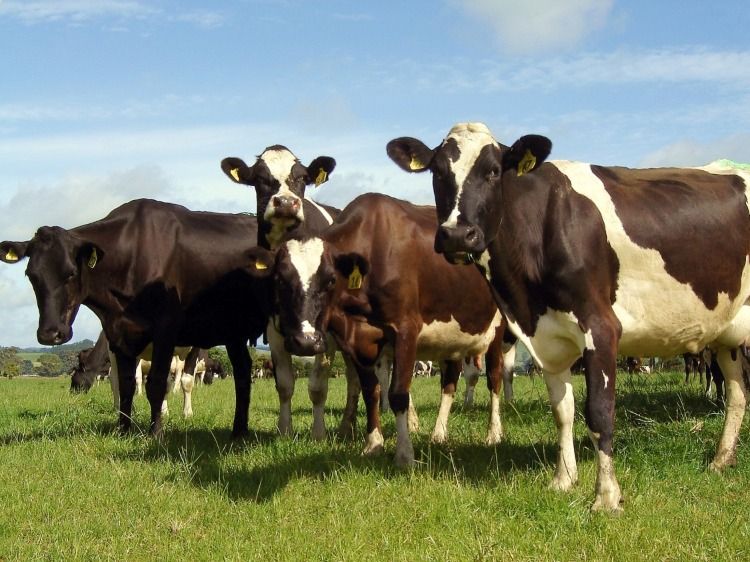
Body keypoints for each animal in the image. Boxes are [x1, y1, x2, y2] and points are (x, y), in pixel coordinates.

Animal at [220, 144, 362, 438]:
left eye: (301, 178)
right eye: (260, 179)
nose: (285, 202)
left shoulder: (324, 334)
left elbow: (318, 386)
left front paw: (318, 434)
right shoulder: (273, 326)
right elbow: (284, 384)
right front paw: (284, 430)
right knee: (354, 377)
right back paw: (347, 426)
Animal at [262, 192, 516, 464]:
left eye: (330, 280)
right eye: (279, 280)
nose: (306, 341)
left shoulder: (406, 330)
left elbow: (398, 394)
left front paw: (404, 455)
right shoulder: (357, 341)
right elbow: (370, 391)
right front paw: (374, 443)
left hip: (496, 330)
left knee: (494, 378)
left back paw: (493, 433)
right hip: (452, 339)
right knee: (449, 382)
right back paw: (439, 433)